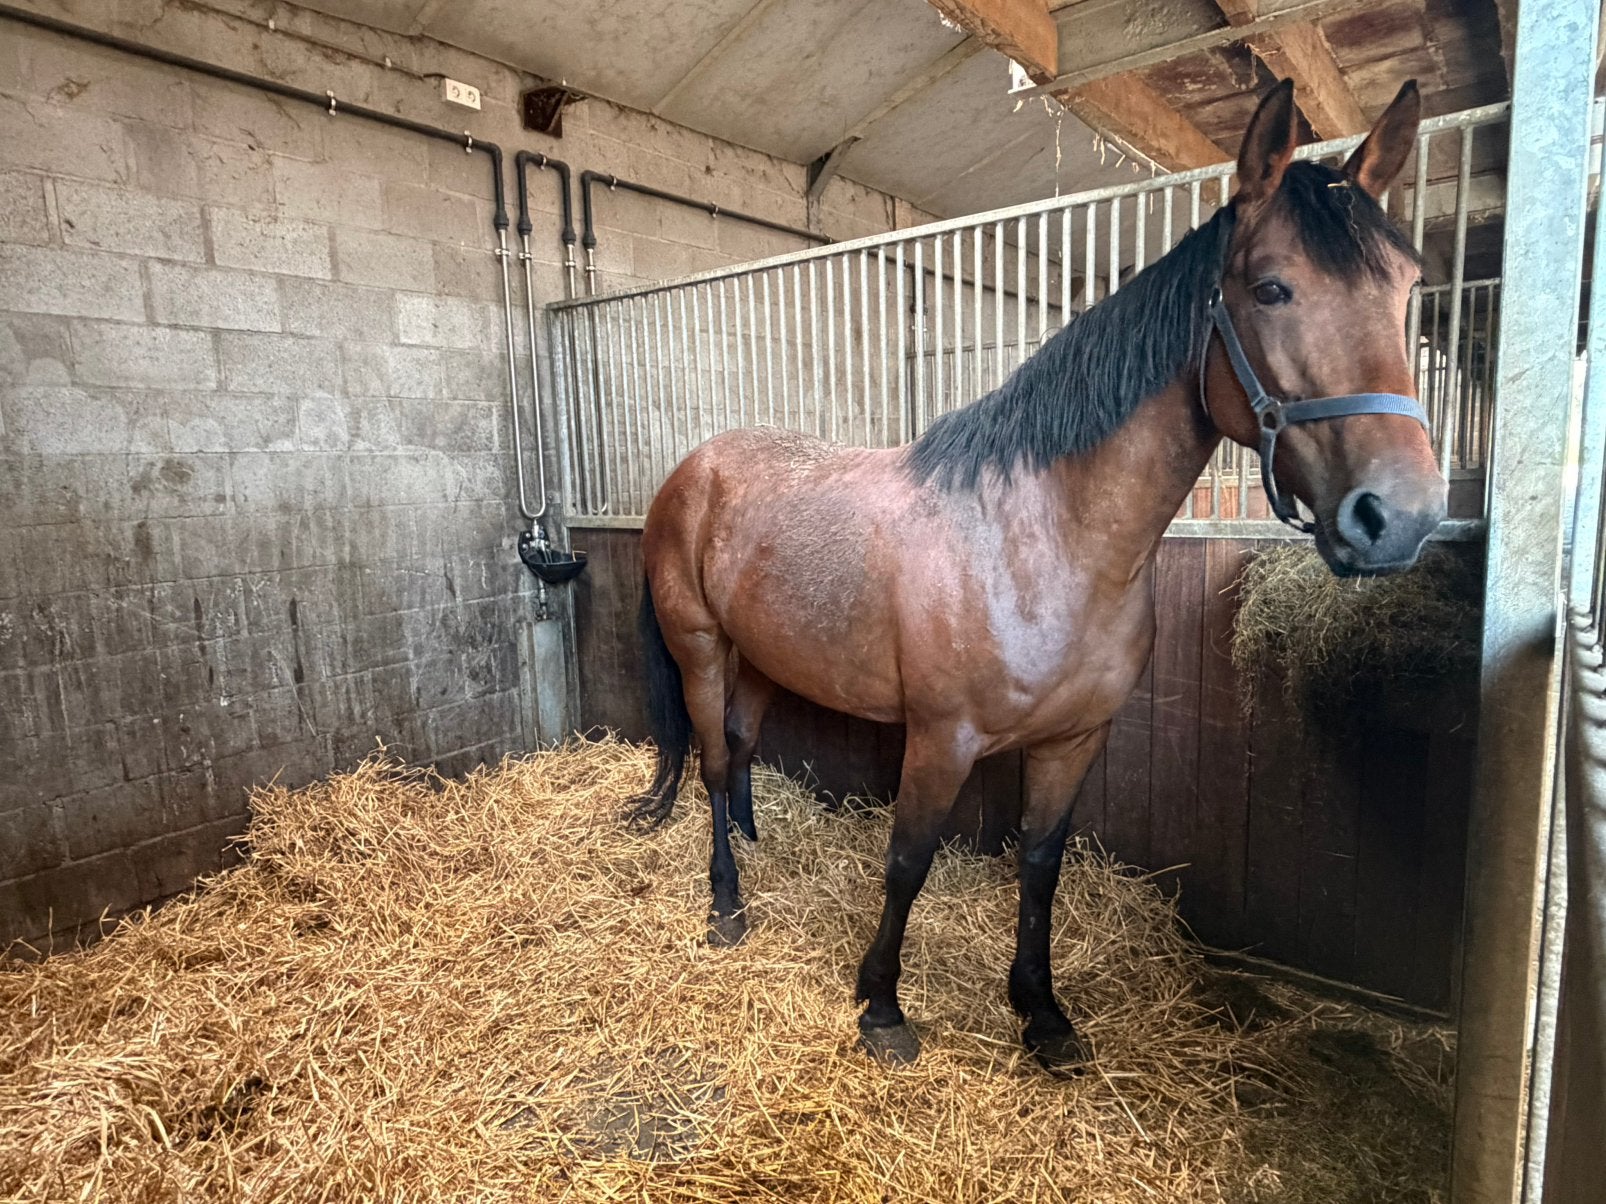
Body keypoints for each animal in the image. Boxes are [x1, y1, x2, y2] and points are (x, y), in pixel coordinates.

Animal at [627, 79, 1444, 1070]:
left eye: (1407, 289)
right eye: (1272, 287)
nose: (1399, 516)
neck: (1044, 542)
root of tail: (690, 472)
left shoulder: (1072, 741)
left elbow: (1040, 867)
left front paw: (1042, 1013)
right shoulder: (941, 739)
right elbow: (907, 861)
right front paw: (882, 1007)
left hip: (764, 656)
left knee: (742, 752)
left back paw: (756, 850)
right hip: (701, 649)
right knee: (711, 764)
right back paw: (727, 903)